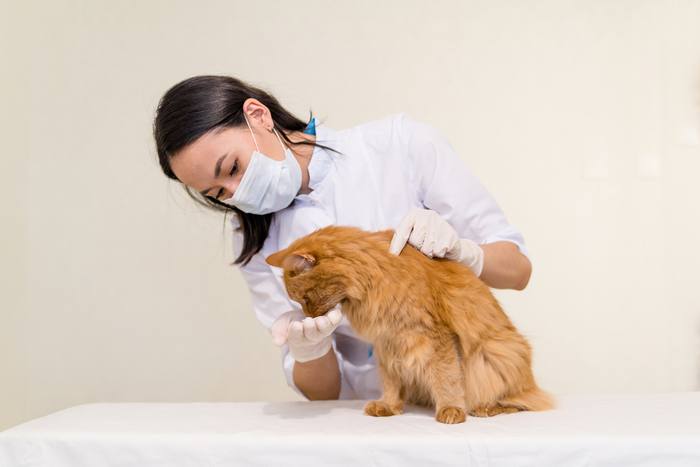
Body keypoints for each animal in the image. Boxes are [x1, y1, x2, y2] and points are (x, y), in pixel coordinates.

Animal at [266, 226, 556, 424]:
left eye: (305, 298)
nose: (309, 315)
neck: (373, 278)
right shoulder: (388, 344)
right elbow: (391, 382)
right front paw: (388, 406)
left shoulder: (433, 336)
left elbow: (447, 378)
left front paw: (451, 410)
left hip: (496, 352)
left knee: (525, 400)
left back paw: (486, 408)